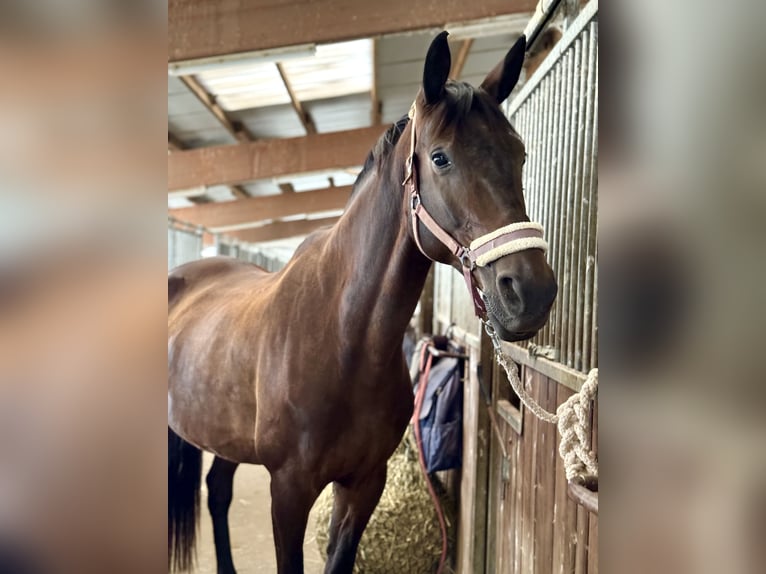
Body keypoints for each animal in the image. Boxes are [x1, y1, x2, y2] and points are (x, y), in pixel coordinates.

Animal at [168, 31, 557, 574]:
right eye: (440, 158)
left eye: (519, 154)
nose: (531, 291)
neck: (342, 337)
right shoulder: (289, 491)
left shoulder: (364, 484)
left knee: (217, 490)